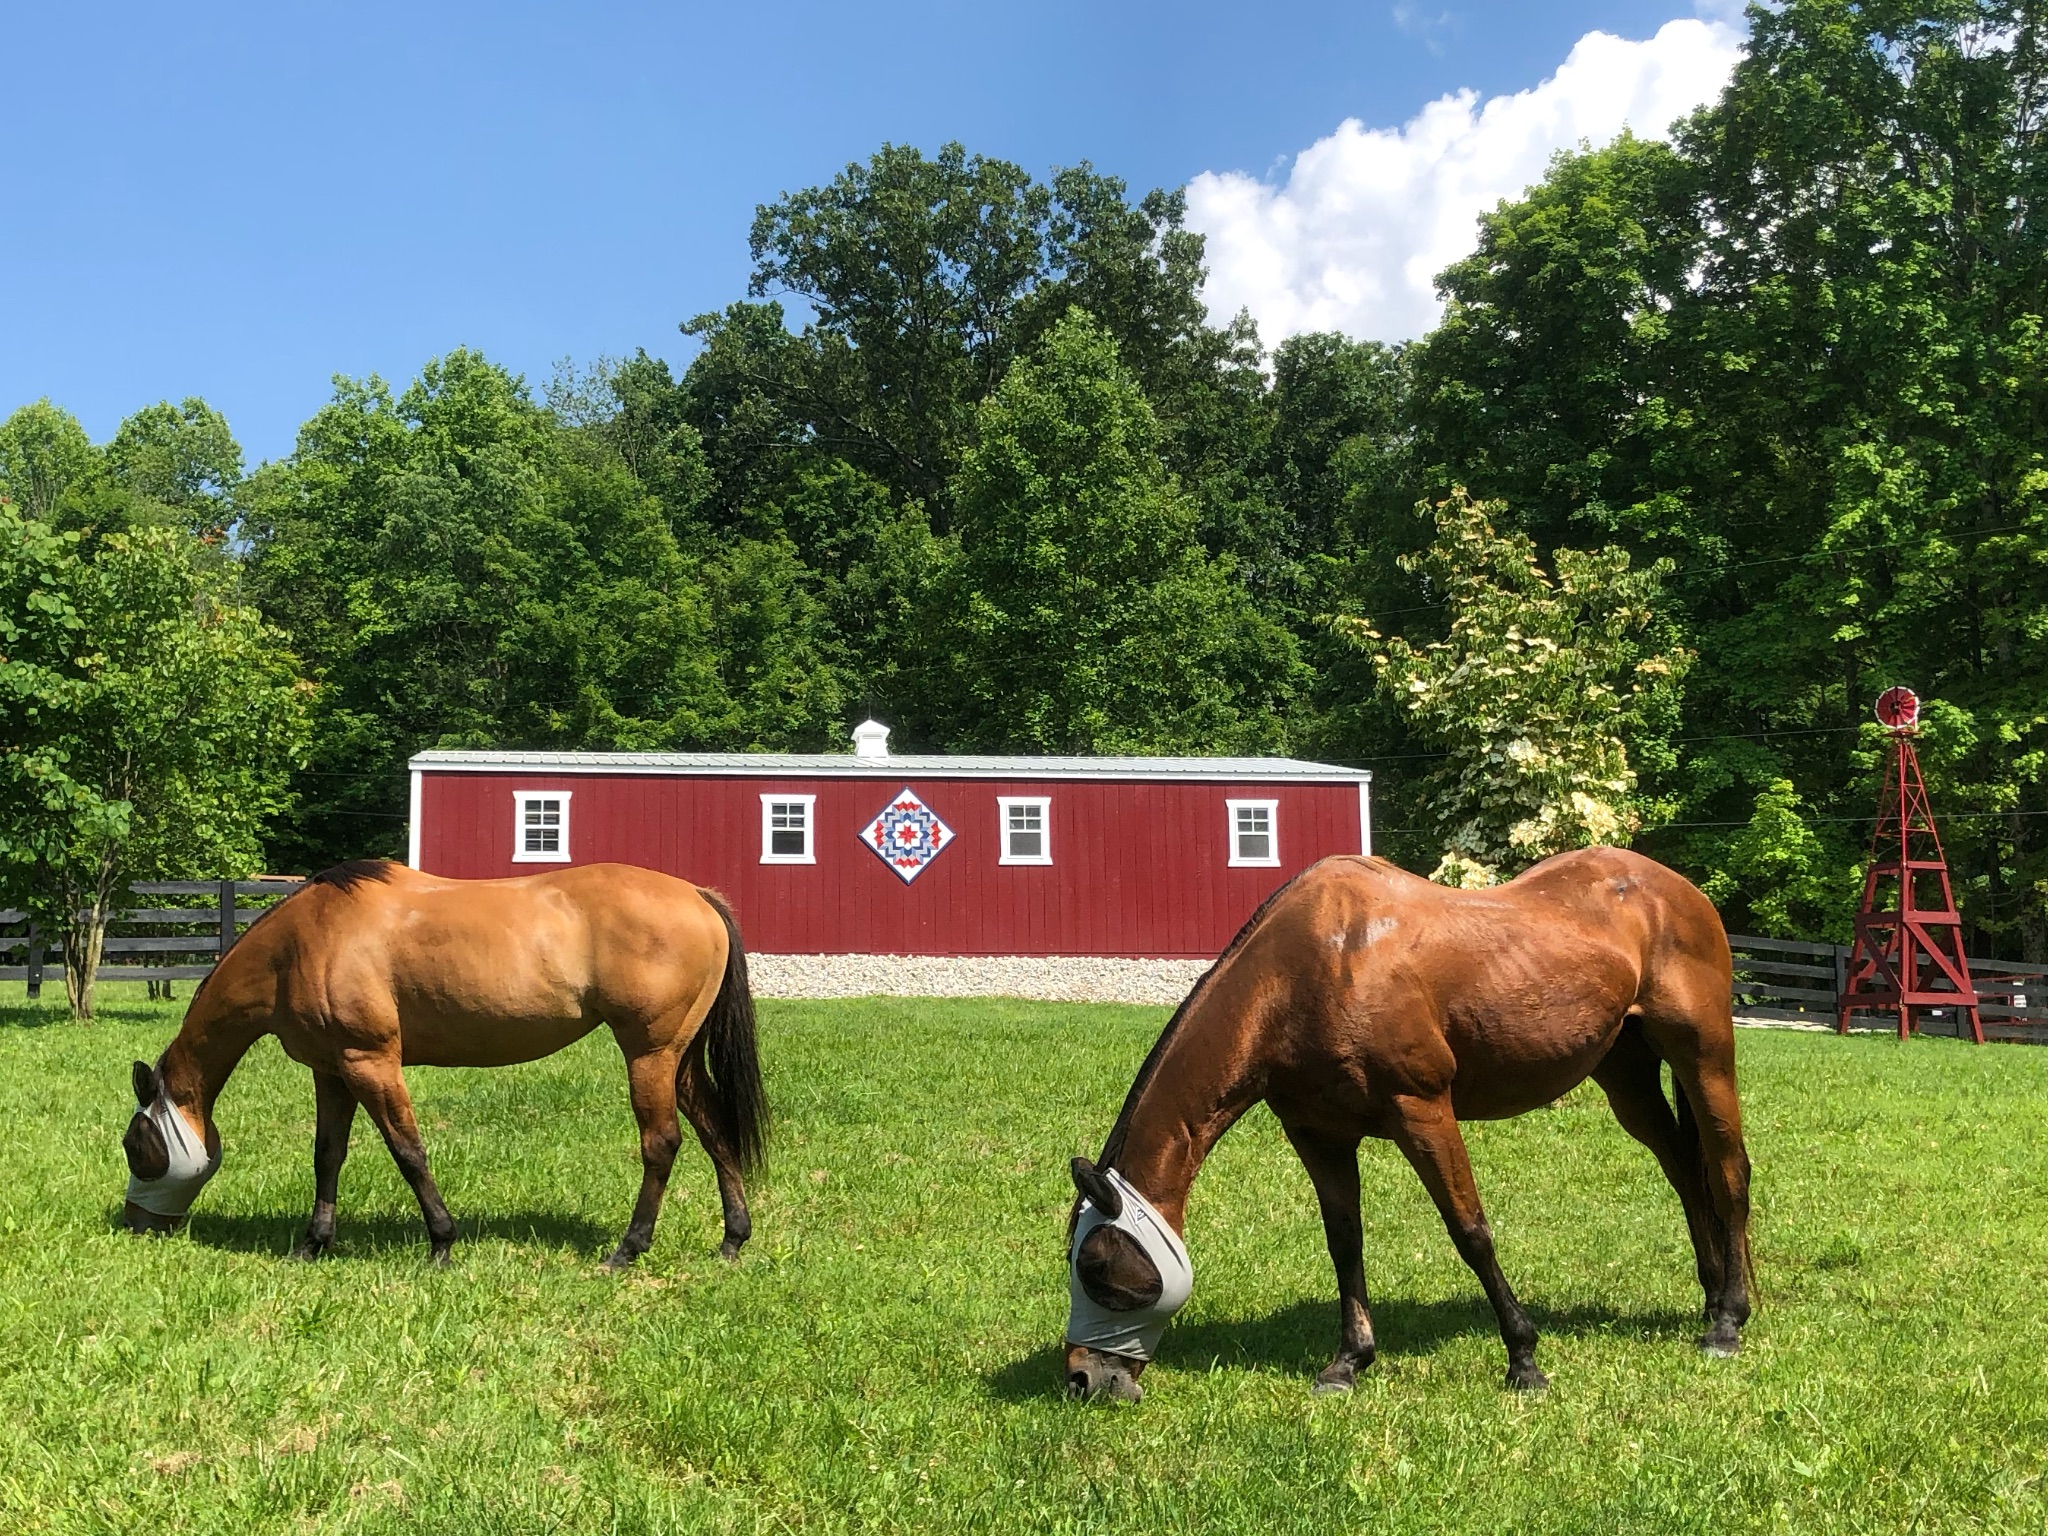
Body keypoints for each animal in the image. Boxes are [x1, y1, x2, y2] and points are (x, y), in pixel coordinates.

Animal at [120, 859, 768, 1268]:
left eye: (136, 1146)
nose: (132, 1223)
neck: (305, 942)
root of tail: (699, 897)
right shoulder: (332, 1071)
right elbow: (327, 1156)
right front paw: (314, 1243)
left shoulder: (371, 1062)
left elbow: (408, 1151)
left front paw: (442, 1243)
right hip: (678, 1059)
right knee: (714, 1130)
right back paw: (733, 1240)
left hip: (649, 1056)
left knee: (661, 1144)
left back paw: (629, 1249)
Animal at [1063, 847, 1753, 1402]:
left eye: (1095, 1266)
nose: (1081, 1379)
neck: (1314, 969)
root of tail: (1679, 890)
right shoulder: (1319, 1135)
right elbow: (1344, 1242)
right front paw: (1348, 1362)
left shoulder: (1422, 1110)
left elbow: (1470, 1232)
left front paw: (1524, 1360)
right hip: (1626, 1076)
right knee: (1684, 1173)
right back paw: (1712, 1300)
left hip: (1704, 1055)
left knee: (1728, 1174)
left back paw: (1729, 1323)